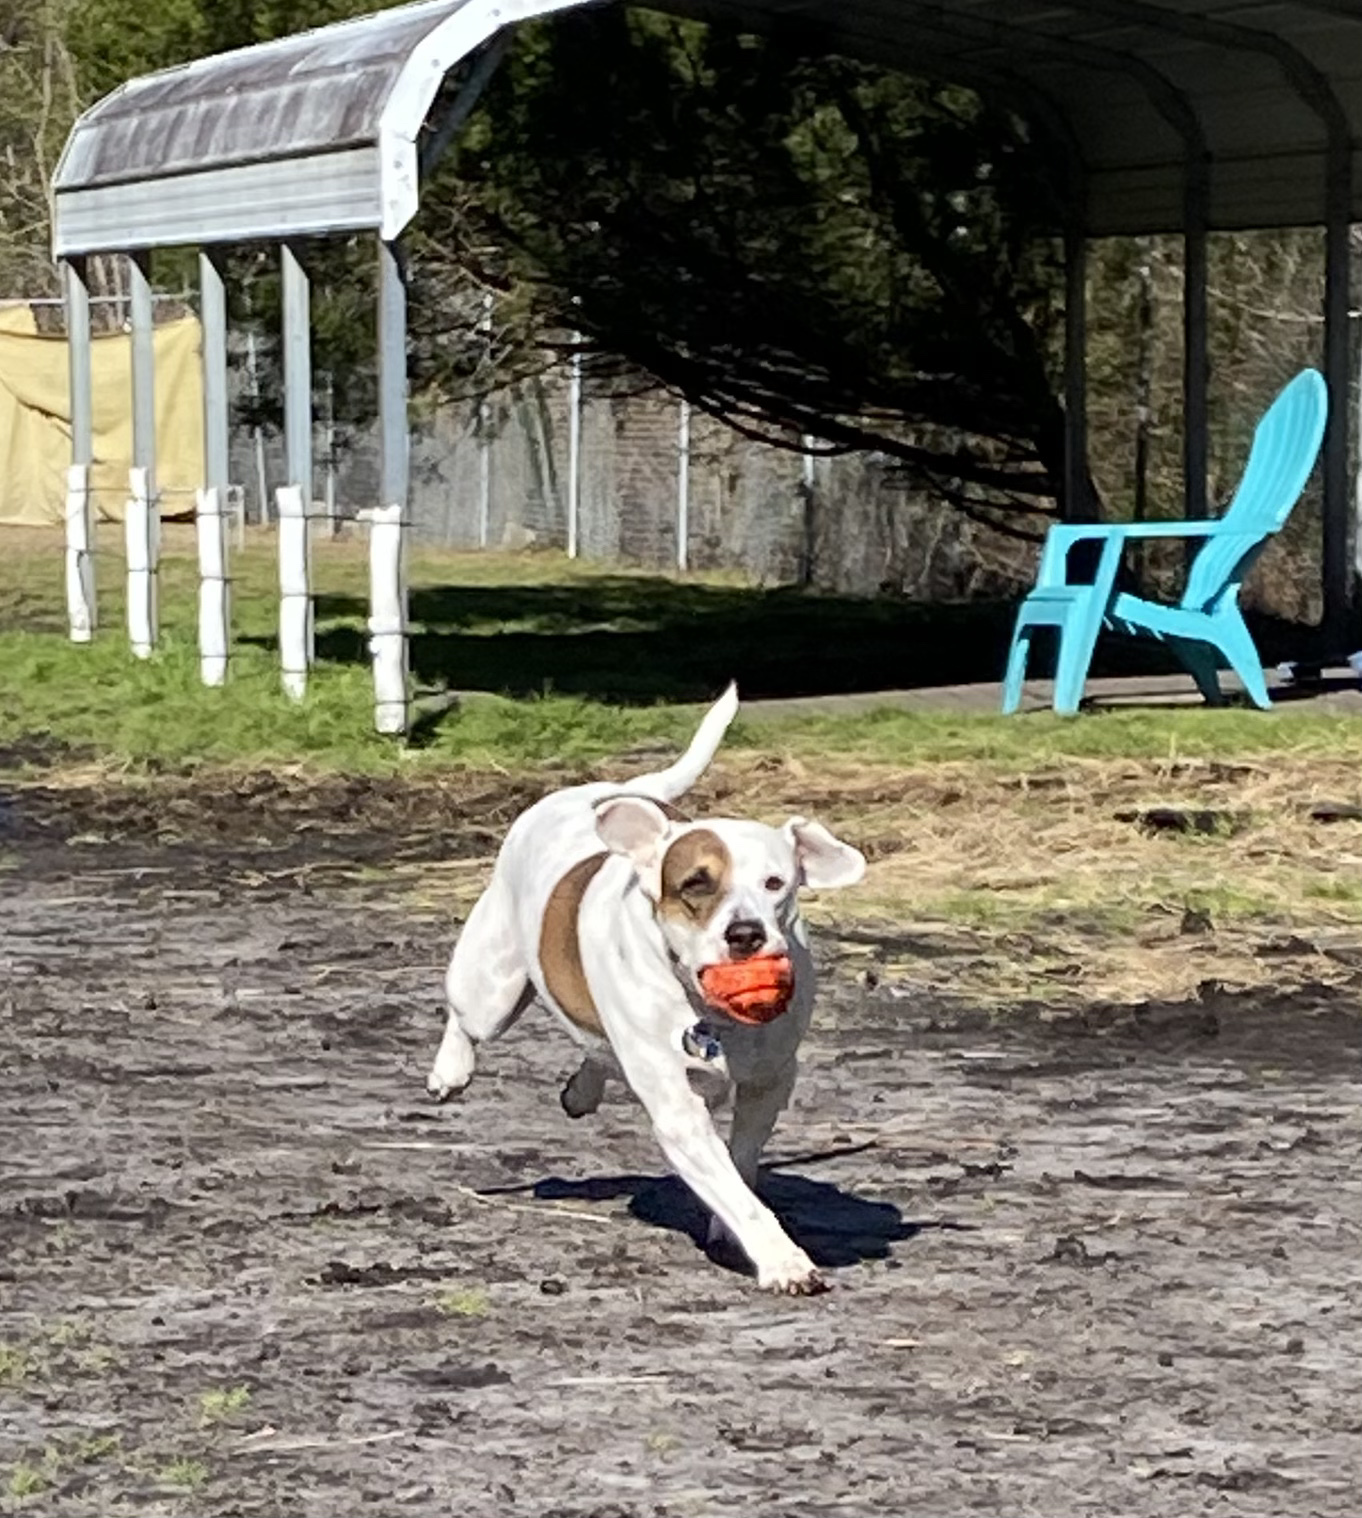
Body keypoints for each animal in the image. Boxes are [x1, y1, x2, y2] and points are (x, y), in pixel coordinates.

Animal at [428, 689, 862, 1293]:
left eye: (776, 883)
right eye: (695, 883)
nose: (745, 933)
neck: (705, 1011)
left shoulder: (771, 1081)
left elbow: (741, 1164)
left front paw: (729, 1226)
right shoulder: (677, 1109)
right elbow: (735, 1190)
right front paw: (783, 1261)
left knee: (596, 1052)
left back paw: (581, 1091)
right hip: (492, 983)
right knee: (467, 1018)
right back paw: (450, 1071)